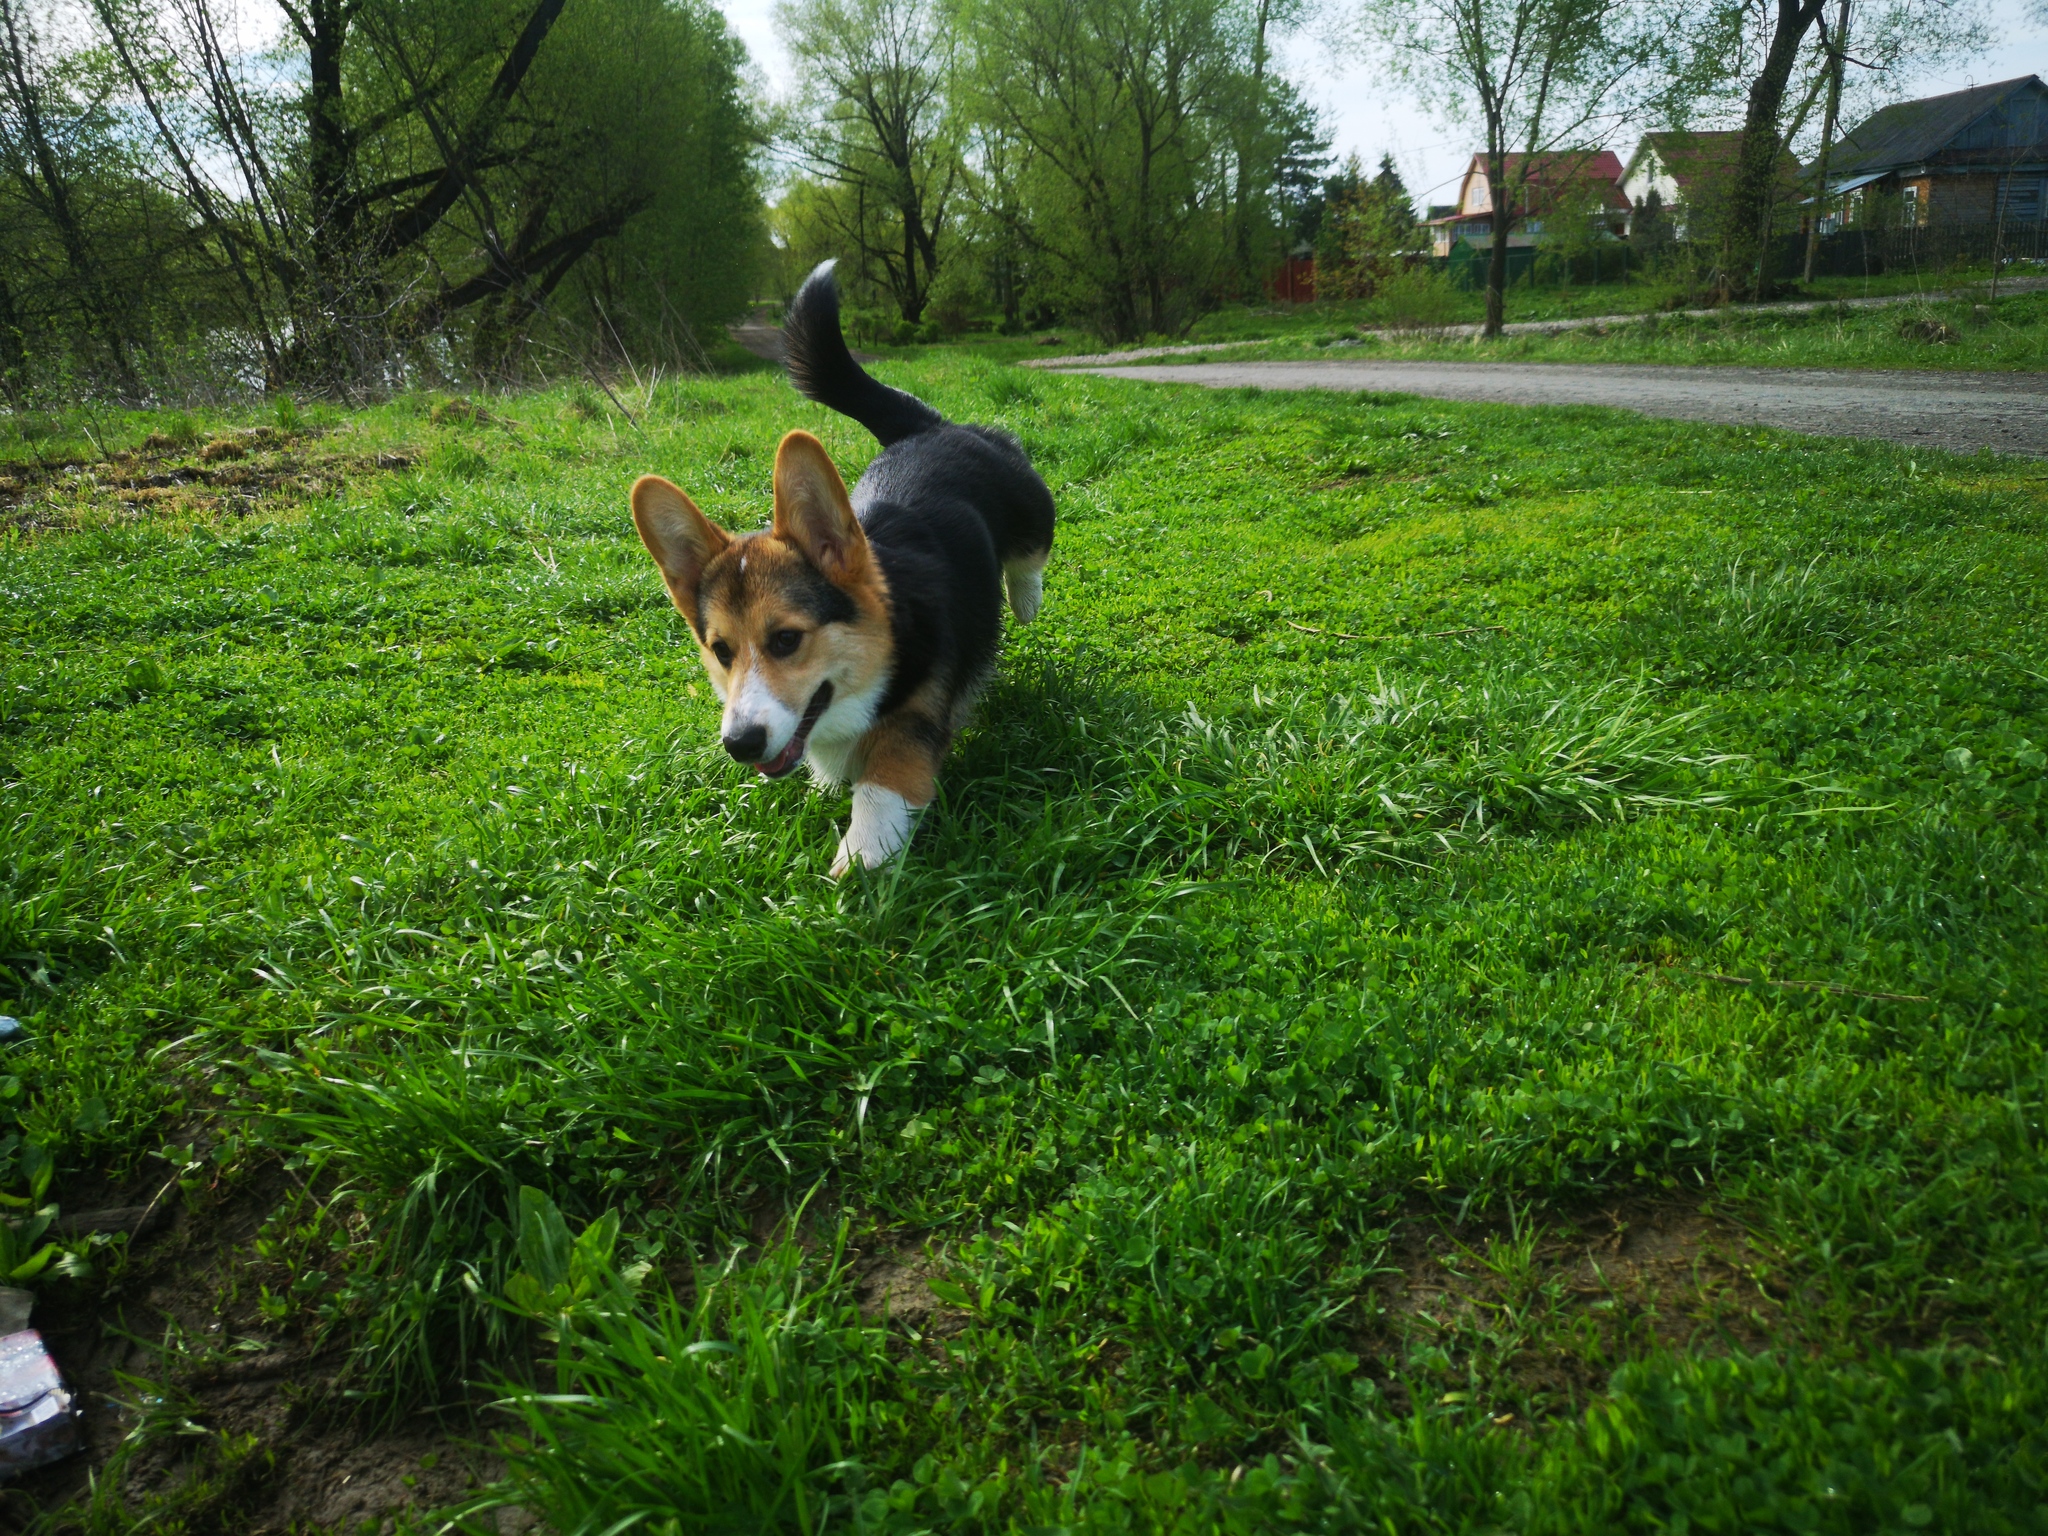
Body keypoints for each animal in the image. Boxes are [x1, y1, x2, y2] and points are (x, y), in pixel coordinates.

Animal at [630, 259, 1064, 872]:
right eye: (721, 651)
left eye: (787, 640)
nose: (739, 745)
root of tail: (927, 429)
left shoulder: (911, 722)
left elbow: (882, 787)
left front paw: (859, 858)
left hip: (1029, 504)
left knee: (1030, 552)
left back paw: (1025, 598)